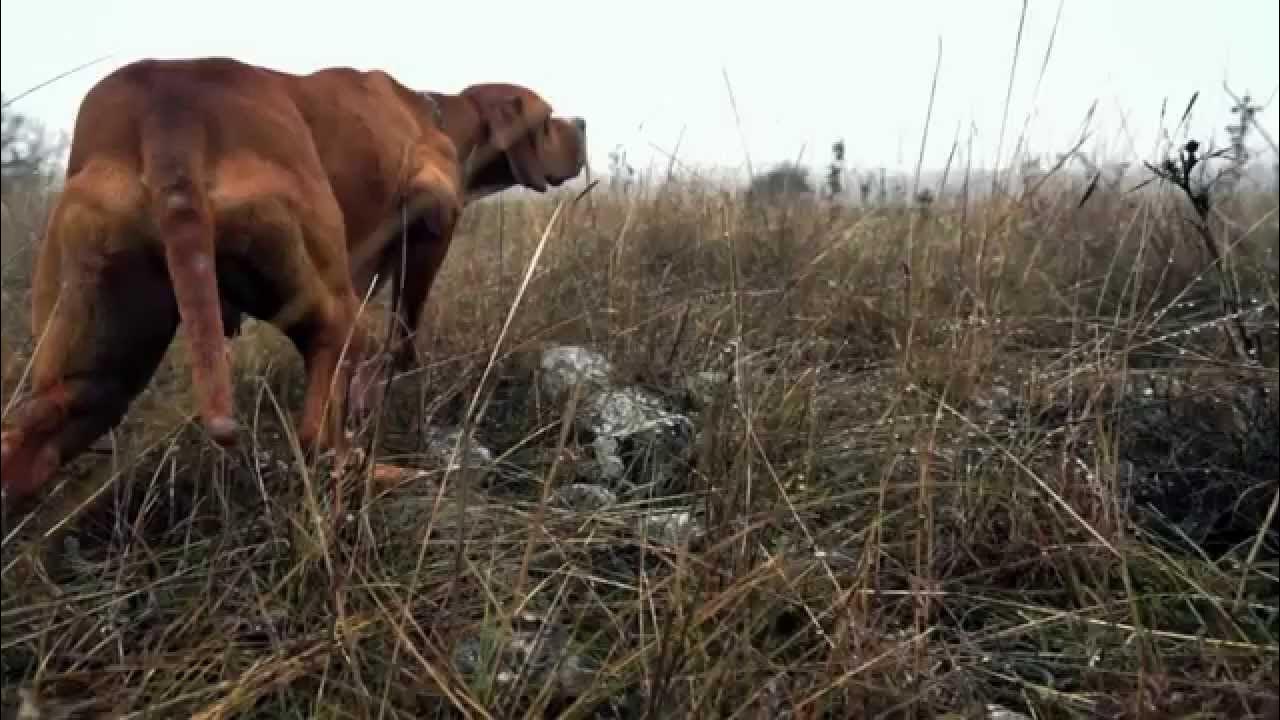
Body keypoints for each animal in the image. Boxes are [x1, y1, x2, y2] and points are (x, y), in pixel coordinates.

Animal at [0, 58, 586, 509]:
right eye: (548, 119)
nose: (581, 122)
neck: (436, 114)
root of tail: (169, 109)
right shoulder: (433, 222)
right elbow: (403, 336)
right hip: (331, 306)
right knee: (318, 435)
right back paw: (381, 473)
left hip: (100, 362)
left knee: (27, 441)